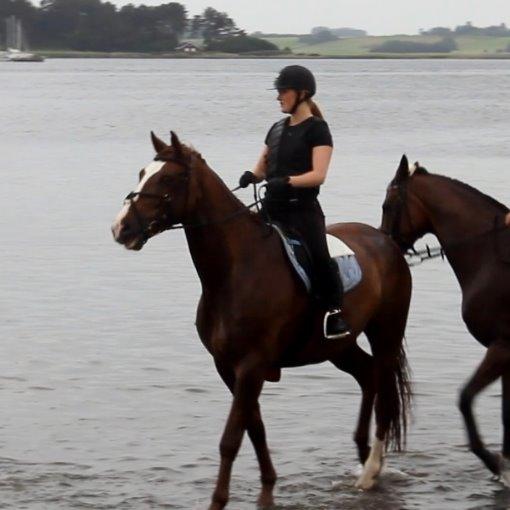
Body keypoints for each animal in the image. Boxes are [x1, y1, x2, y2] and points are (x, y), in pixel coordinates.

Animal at [110, 132, 410, 510]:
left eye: (168, 179)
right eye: (142, 173)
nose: (121, 228)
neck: (236, 269)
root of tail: (385, 241)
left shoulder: (251, 366)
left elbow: (231, 438)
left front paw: (219, 501)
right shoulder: (228, 367)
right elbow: (254, 428)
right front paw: (267, 489)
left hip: (386, 333)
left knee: (383, 390)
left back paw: (371, 470)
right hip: (338, 346)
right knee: (367, 376)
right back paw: (363, 454)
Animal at [380, 155, 508, 486]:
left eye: (388, 205)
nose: (386, 244)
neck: (490, 256)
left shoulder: (502, 347)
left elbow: (465, 399)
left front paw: (493, 461)